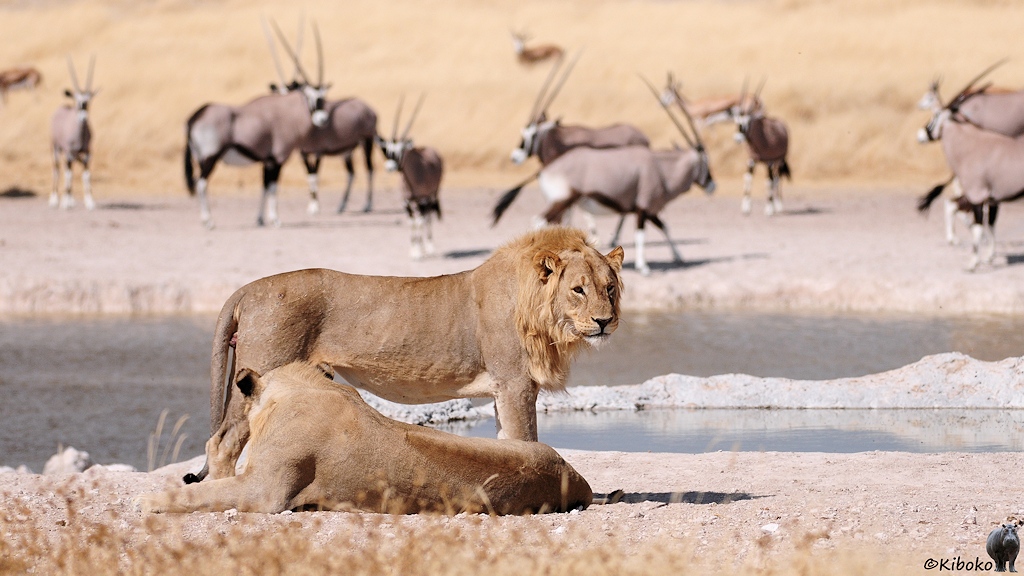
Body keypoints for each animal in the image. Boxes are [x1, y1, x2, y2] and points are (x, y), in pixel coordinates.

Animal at [187, 227, 624, 483]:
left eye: (610, 288)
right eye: (578, 289)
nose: (605, 321)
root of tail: (249, 288)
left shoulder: (505, 389)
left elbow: (508, 440)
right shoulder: (516, 383)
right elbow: (527, 438)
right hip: (261, 373)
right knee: (222, 442)